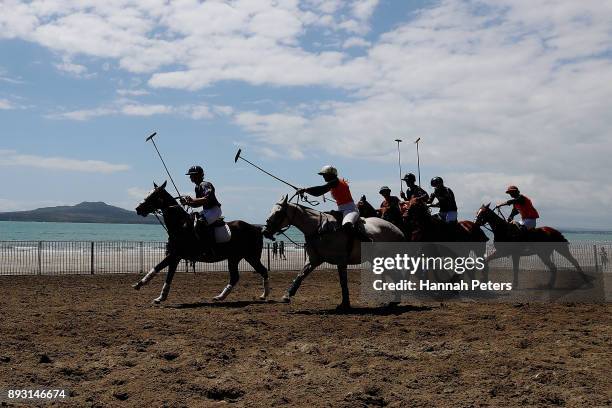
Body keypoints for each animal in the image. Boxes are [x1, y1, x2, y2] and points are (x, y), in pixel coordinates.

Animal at [133, 182, 268, 302]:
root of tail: (257, 229)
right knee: (235, 277)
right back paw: (221, 296)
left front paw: (147, 288)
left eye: (154, 195)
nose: (138, 208)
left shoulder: (175, 255)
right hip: (234, 258)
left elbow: (161, 269)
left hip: (251, 256)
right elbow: (163, 272)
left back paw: (264, 295)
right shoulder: (175, 256)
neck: (181, 225)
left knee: (263, 271)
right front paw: (156, 294)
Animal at [260, 195, 404, 310]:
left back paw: (395, 300)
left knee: (397, 275)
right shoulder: (314, 260)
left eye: (278, 213)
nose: (264, 231)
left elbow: (343, 282)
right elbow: (300, 275)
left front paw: (345, 304)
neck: (320, 228)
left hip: (385, 258)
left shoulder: (341, 261)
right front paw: (287, 295)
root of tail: (398, 231)